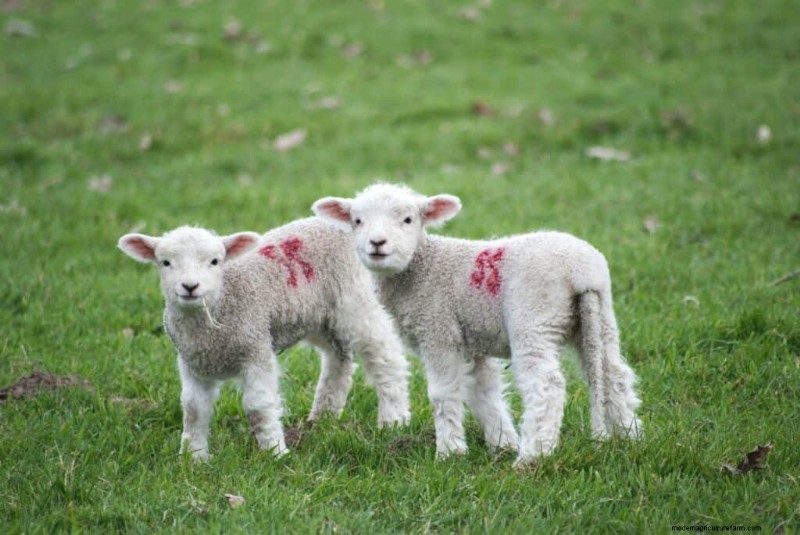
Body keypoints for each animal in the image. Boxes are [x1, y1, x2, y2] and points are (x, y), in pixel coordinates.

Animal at [118, 219, 410, 461]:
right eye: (165, 262)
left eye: (215, 261)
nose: (190, 287)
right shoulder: (193, 364)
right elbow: (193, 409)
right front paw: (194, 459)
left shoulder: (256, 348)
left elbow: (257, 407)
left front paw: (275, 453)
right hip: (319, 317)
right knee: (339, 359)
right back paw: (323, 418)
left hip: (356, 299)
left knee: (385, 358)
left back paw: (393, 420)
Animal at [313, 184, 642, 466]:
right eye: (357, 221)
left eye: (408, 219)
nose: (377, 244)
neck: (422, 267)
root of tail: (582, 272)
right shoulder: (474, 341)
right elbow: (484, 393)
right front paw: (502, 442)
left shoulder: (439, 330)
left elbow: (443, 392)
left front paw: (450, 452)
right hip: (599, 318)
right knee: (613, 373)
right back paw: (630, 437)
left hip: (533, 317)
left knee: (547, 385)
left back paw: (533, 457)